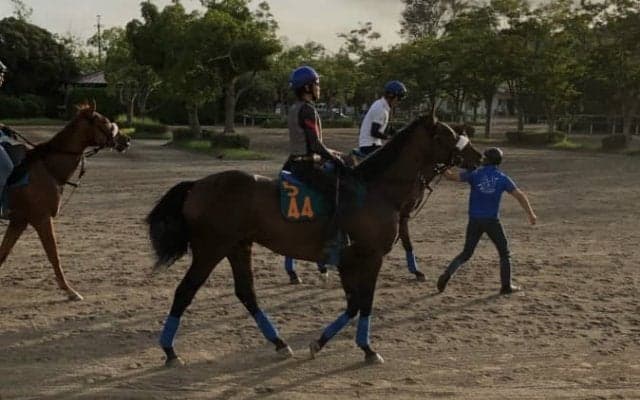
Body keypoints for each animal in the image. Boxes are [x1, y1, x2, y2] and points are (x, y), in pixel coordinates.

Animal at [0, 102, 130, 300]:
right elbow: (53, 255)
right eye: (105, 121)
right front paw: (69, 290)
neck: (48, 169)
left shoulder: (19, 221)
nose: (126, 139)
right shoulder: (41, 218)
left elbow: (3, 253)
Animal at [282, 123, 477, 284]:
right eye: (451, 137)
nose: (479, 157)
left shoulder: (402, 214)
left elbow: (406, 240)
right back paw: (295, 273)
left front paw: (417, 271)